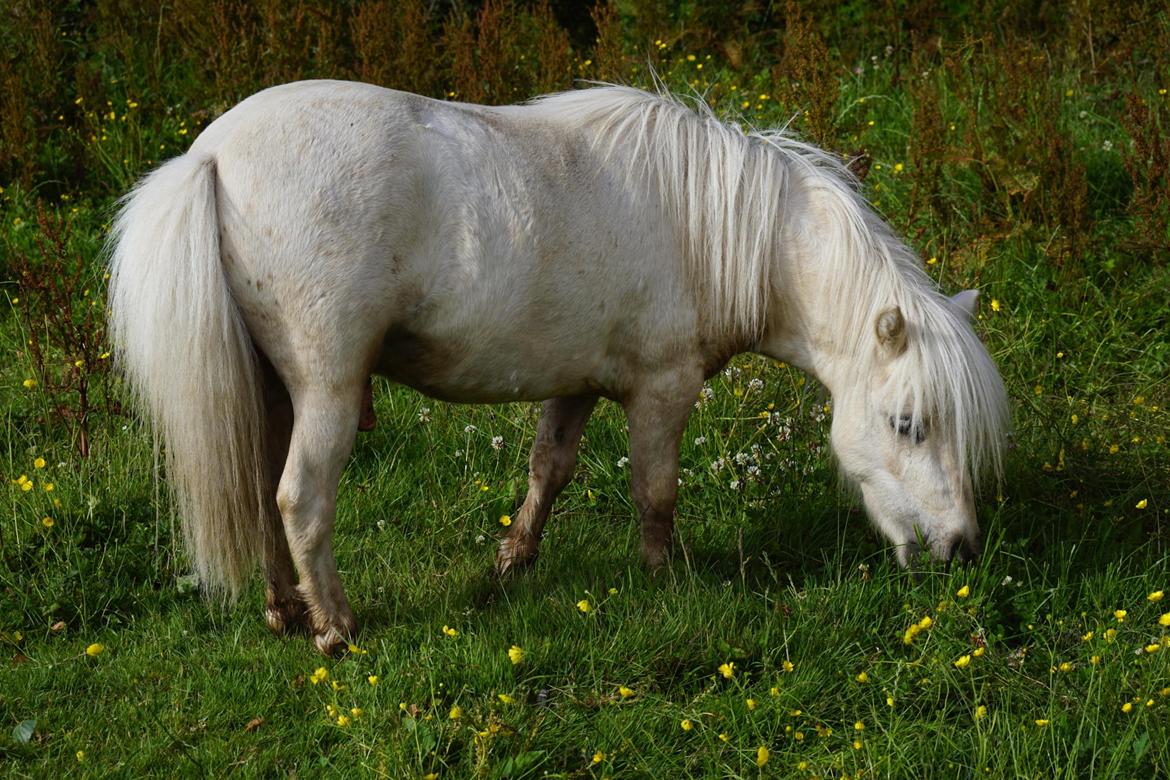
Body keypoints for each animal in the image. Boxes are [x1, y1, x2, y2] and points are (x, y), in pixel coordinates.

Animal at [107, 80, 1006, 654]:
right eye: (906, 424)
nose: (963, 548)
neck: (712, 228)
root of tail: (212, 156)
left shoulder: (576, 385)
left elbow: (549, 469)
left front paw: (514, 562)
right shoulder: (662, 390)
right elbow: (655, 492)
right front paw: (662, 580)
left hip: (269, 392)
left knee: (257, 492)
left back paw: (286, 612)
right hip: (325, 389)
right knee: (300, 499)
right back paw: (335, 628)